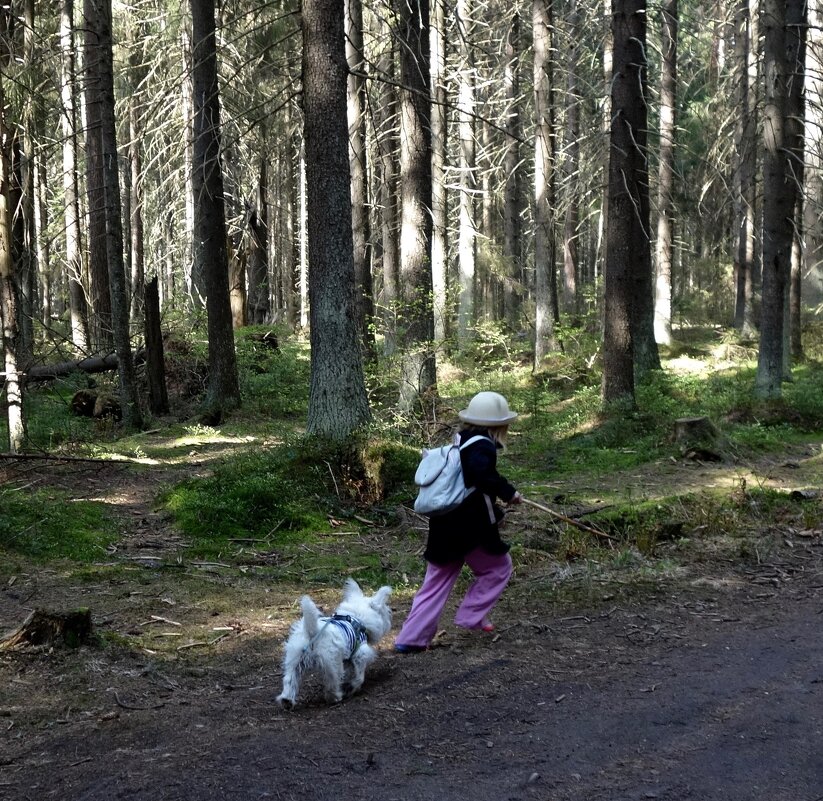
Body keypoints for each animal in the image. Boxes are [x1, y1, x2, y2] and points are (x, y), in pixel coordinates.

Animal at [276, 576, 392, 708]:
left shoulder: (349, 658)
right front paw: (352, 687)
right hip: (331, 662)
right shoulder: (360, 654)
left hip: (295, 660)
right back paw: (335, 697)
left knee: (289, 680)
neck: (357, 617)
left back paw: (286, 700)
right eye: (385, 611)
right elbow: (359, 676)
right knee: (332, 681)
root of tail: (313, 631)